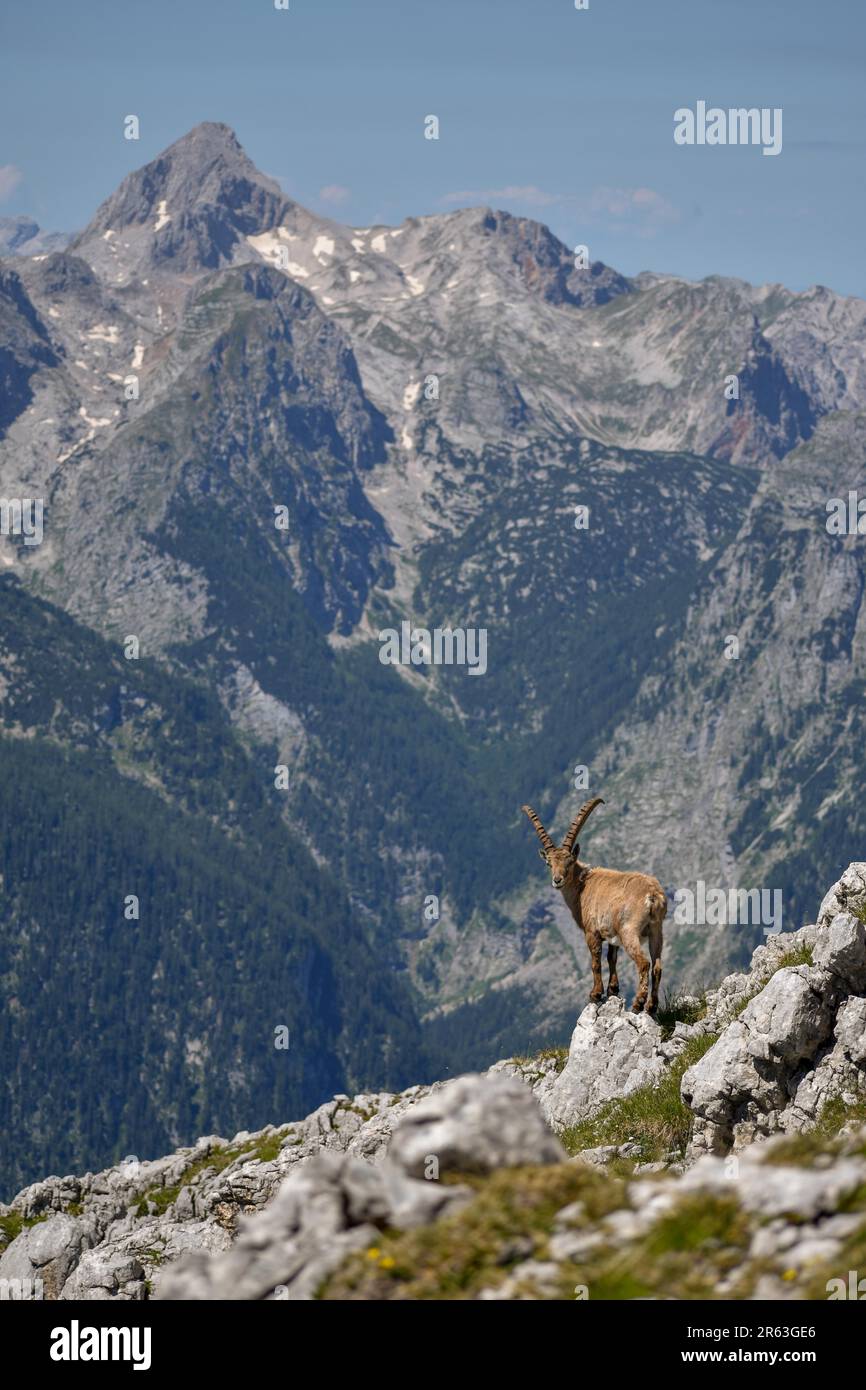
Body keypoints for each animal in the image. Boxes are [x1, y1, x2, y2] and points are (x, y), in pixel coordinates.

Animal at [521, 798, 666, 1013]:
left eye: (569, 861)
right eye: (549, 863)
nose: (557, 880)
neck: (582, 885)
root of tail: (652, 894)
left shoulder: (592, 932)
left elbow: (595, 962)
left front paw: (595, 993)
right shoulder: (611, 933)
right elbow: (611, 958)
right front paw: (613, 989)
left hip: (629, 931)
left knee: (644, 963)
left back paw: (638, 1002)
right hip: (656, 930)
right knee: (657, 966)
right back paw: (651, 1006)